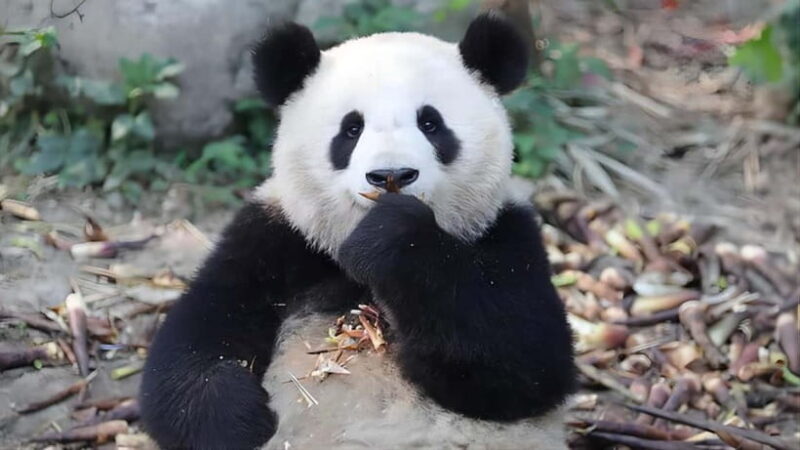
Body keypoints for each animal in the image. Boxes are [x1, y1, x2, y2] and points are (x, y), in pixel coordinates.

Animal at [140, 13, 576, 450]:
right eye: (351, 130)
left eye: (430, 123)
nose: (391, 175)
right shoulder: (277, 239)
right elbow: (197, 337)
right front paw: (238, 420)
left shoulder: (505, 233)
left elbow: (525, 357)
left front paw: (392, 237)